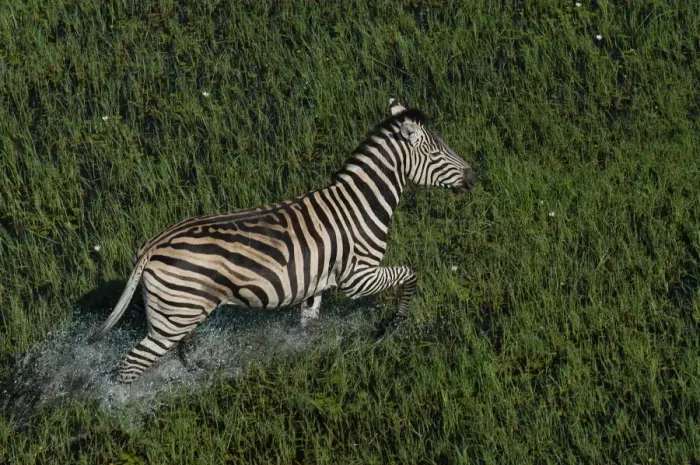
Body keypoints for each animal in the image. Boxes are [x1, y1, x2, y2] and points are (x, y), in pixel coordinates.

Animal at [89, 98, 477, 383]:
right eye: (437, 153)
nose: (473, 177)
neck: (359, 204)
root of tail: (152, 246)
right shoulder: (358, 277)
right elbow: (410, 275)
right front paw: (394, 324)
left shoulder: (318, 282)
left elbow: (309, 321)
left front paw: (309, 352)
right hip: (172, 320)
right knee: (128, 369)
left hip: (177, 313)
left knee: (175, 353)